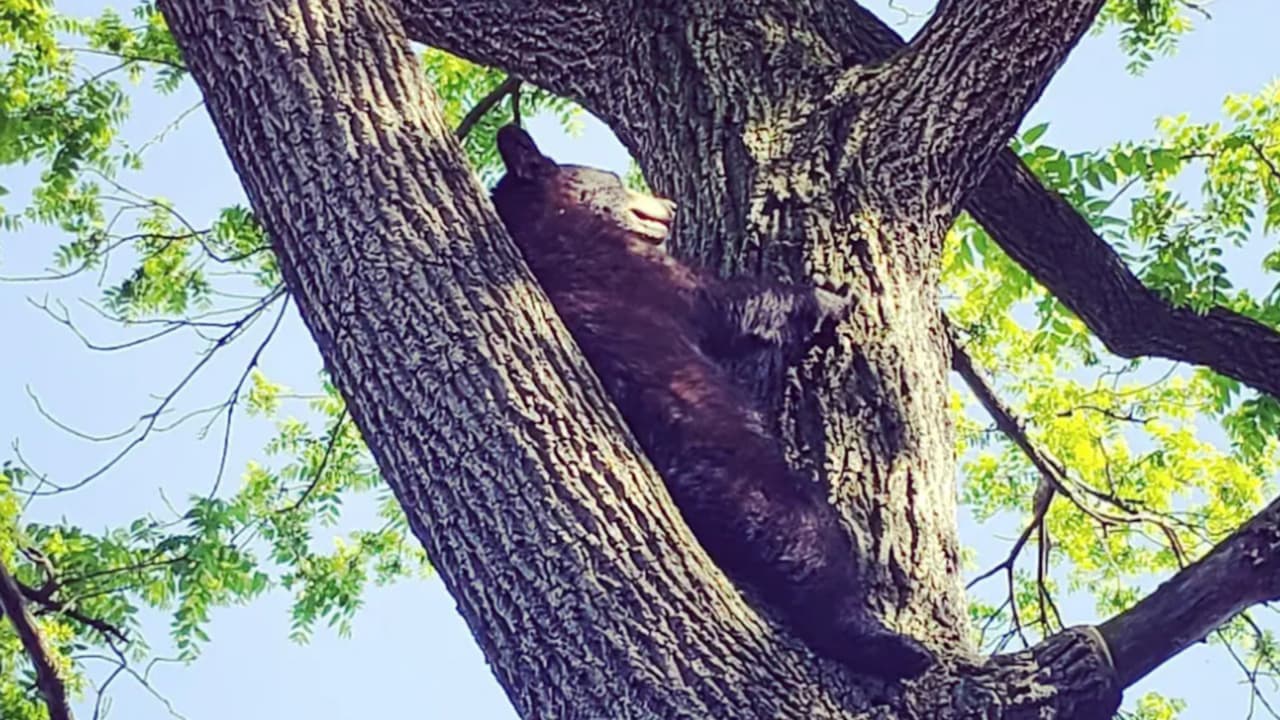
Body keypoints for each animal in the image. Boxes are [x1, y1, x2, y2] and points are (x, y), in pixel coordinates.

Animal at [490, 125, 932, 680]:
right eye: (614, 177)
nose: (671, 205)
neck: (549, 225)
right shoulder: (633, 269)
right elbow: (736, 304)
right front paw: (832, 297)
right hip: (751, 482)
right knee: (810, 546)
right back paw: (887, 644)